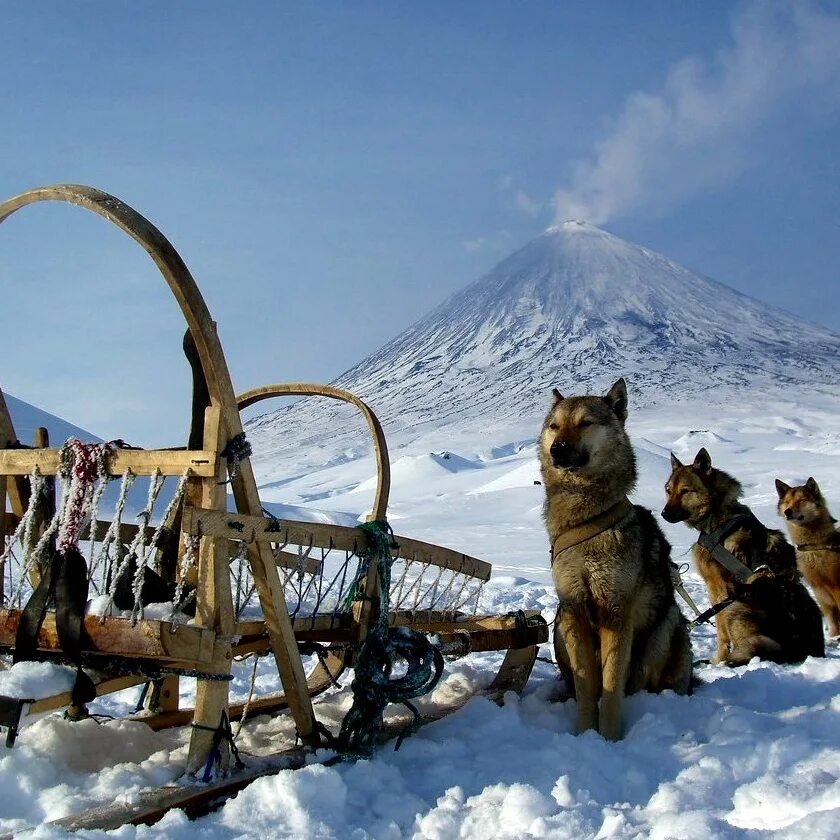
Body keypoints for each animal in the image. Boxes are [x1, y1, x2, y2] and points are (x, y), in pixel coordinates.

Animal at [540, 378, 692, 740]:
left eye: (585, 423)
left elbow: (610, 688)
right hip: (559, 624)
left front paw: (608, 739)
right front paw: (584, 735)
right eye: (554, 426)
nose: (557, 449)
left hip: (666, 626)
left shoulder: (615, 611)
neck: (586, 519)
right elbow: (586, 687)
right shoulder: (574, 608)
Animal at [664, 450, 828, 668]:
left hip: (736, 605)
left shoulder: (718, 588)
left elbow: (721, 633)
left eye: (685, 491)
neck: (718, 517)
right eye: (668, 490)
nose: (664, 514)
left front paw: (718, 660)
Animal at [776, 476, 840, 640]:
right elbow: (832, 621)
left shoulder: (836, 586)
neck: (815, 546)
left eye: (801, 500)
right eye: (787, 502)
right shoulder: (819, 591)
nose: (787, 511)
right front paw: (833, 637)